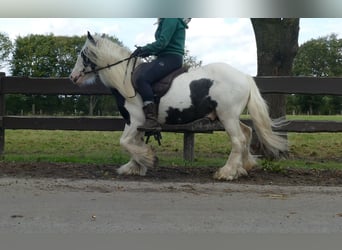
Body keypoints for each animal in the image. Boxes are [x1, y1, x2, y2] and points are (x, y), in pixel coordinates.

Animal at [69, 32, 286, 181]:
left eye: (83, 54)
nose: (72, 77)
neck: (126, 80)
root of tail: (244, 76)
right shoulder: (139, 124)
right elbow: (134, 142)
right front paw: (135, 166)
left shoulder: (135, 120)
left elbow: (126, 142)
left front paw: (148, 159)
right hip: (229, 116)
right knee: (247, 132)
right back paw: (244, 167)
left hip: (228, 116)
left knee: (238, 140)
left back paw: (226, 172)